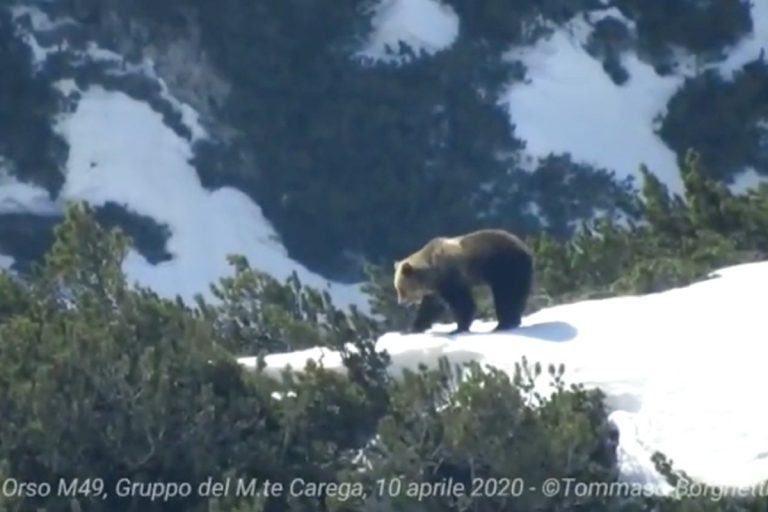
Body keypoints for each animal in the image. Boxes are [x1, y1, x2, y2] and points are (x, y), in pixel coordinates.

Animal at [393, 228, 534, 334]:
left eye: (402, 289)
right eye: (398, 289)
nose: (401, 304)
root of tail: (526, 249)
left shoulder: (451, 278)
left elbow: (463, 303)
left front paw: (458, 328)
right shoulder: (436, 288)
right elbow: (431, 308)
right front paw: (412, 329)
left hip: (505, 267)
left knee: (506, 295)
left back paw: (503, 324)